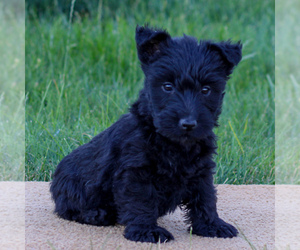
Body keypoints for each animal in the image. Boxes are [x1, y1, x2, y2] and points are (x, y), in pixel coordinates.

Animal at [50, 24, 243, 242]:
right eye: (167, 86)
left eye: (205, 89)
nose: (188, 123)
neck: (173, 144)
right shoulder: (137, 172)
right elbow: (142, 200)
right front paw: (146, 230)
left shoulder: (201, 169)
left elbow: (206, 197)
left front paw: (212, 225)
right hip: (73, 187)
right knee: (67, 209)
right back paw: (97, 214)